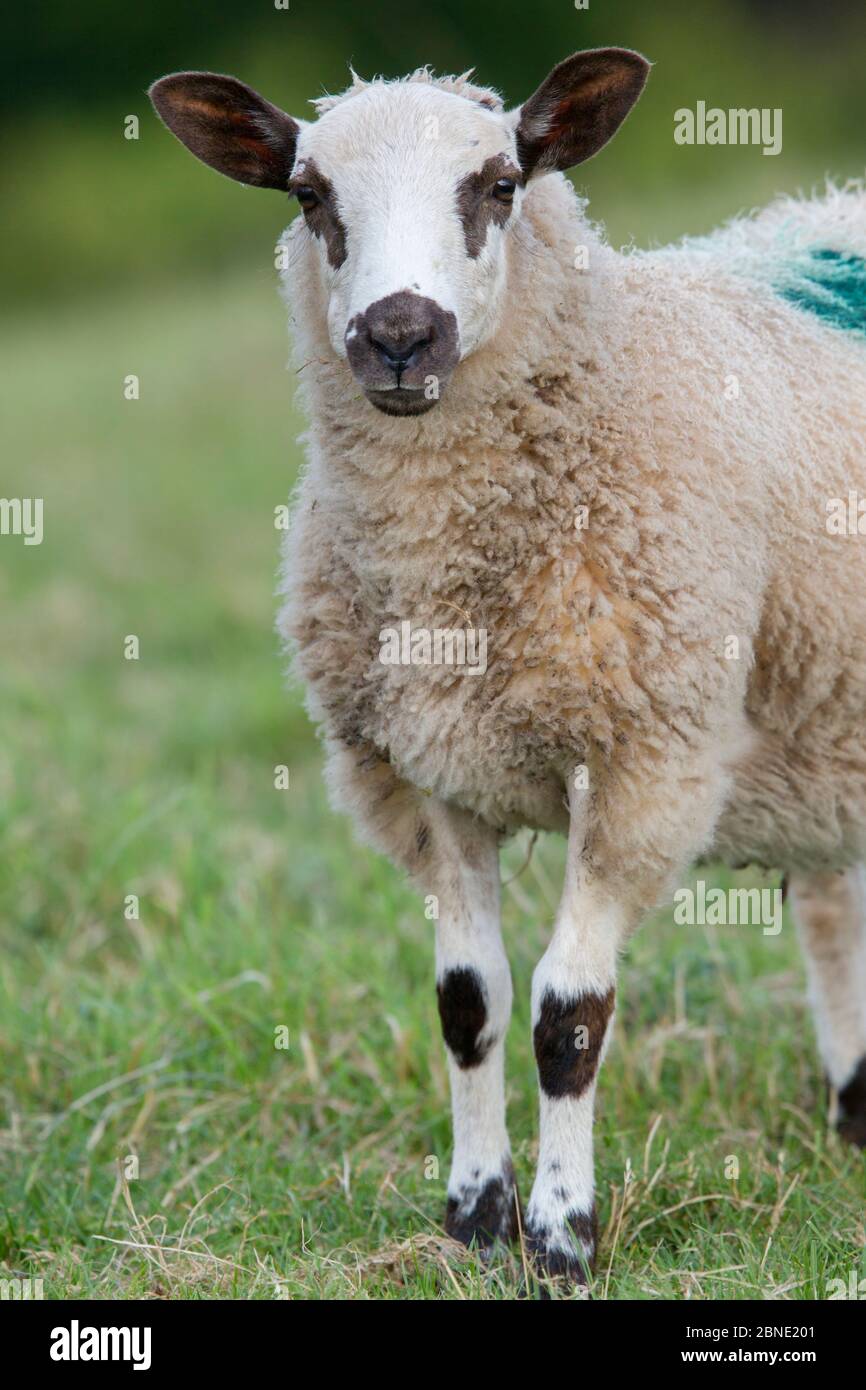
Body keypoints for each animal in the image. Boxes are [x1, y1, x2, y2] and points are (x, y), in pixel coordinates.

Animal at [149, 48, 866, 1289]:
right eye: (309, 196)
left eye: (497, 183)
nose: (397, 333)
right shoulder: (428, 773)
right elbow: (468, 1005)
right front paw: (471, 1218)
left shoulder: (642, 761)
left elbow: (566, 1017)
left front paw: (561, 1235)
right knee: (831, 902)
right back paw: (852, 1113)